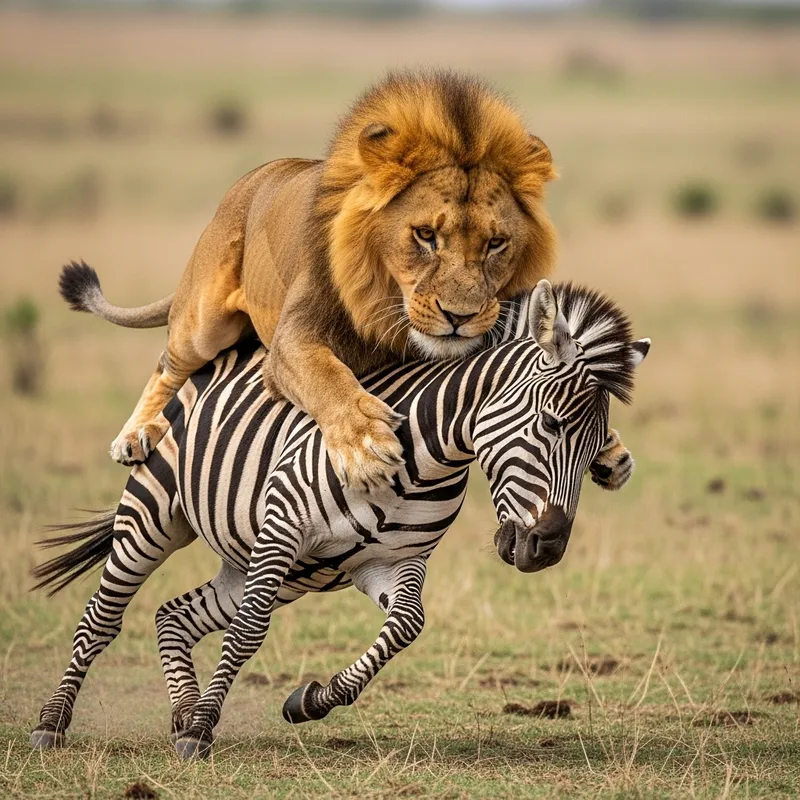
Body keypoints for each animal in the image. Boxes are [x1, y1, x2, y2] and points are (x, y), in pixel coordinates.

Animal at [30, 279, 650, 759]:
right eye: (551, 423)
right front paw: (204, 730)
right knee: (102, 619)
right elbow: (250, 631)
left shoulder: (392, 561)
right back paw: (53, 724)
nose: (548, 548)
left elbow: (406, 626)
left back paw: (182, 710)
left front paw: (307, 702)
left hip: (271, 570)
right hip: (159, 517)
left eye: (594, 450)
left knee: (173, 614)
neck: (427, 455)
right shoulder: (283, 524)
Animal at [59, 70, 559, 491]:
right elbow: (325, 374)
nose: (460, 317)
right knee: (169, 366)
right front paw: (365, 445)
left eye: (496, 243)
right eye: (425, 235)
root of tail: (250, 178)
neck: (384, 302)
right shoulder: (290, 341)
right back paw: (136, 432)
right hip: (202, 322)